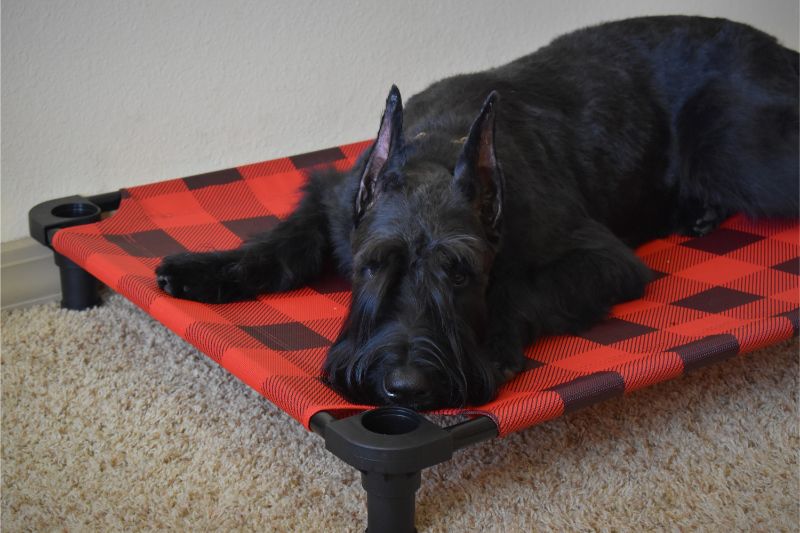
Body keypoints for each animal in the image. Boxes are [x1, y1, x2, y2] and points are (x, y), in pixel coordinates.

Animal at [153, 15, 796, 408]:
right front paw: (204, 270)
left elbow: (524, 290)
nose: (405, 388)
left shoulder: (602, 260)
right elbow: (280, 246)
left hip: (742, 157)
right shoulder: (332, 202)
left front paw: (492, 345)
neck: (441, 145)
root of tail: (779, 50)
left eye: (461, 274)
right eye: (371, 266)